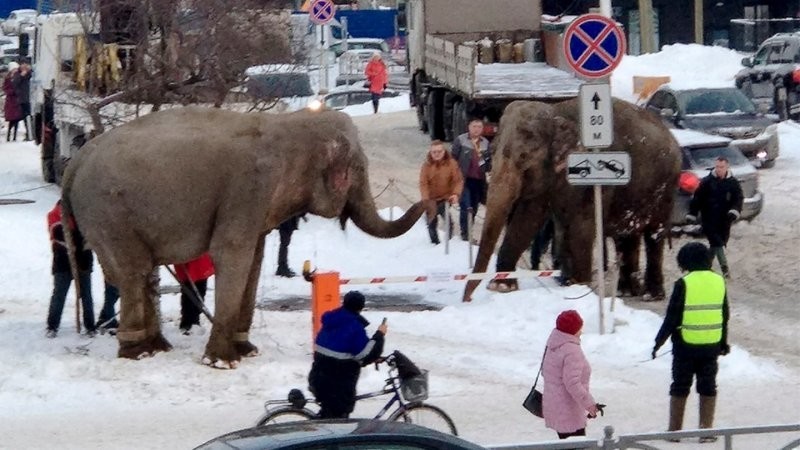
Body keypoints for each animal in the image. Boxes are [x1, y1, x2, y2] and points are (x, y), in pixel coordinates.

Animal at [61, 106, 430, 368]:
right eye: (357, 168)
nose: (427, 200)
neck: (288, 124)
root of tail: (76, 162)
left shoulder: (259, 205)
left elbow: (254, 259)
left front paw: (247, 351)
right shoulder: (248, 188)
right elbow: (232, 253)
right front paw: (223, 362)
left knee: (144, 272)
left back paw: (157, 348)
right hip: (109, 212)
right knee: (134, 272)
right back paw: (138, 352)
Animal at [463, 98, 681, 302]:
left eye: (524, 157)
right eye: (491, 151)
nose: (468, 299)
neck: (555, 112)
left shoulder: (590, 178)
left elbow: (581, 229)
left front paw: (579, 288)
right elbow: (526, 221)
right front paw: (502, 287)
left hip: (666, 187)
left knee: (654, 235)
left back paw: (651, 295)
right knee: (626, 237)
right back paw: (626, 291)